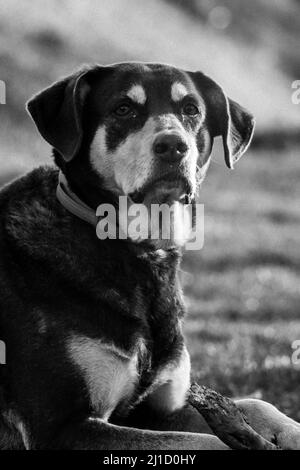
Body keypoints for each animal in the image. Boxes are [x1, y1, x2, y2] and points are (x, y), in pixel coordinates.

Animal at [0, 60, 300, 450]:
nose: (173, 145)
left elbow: (254, 404)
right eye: (123, 109)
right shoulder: (64, 427)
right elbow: (209, 443)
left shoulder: (159, 407)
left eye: (191, 109)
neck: (139, 254)